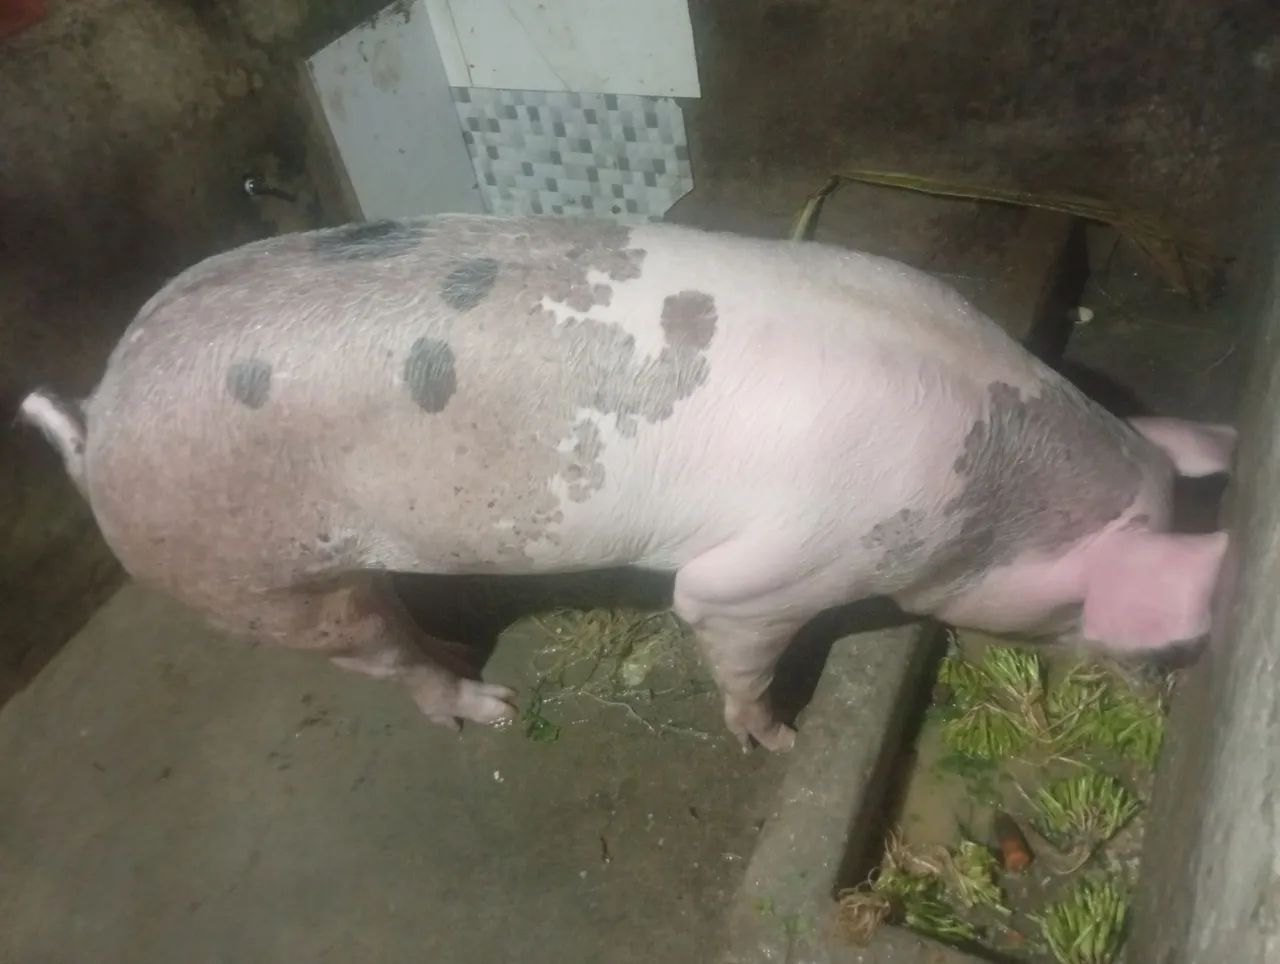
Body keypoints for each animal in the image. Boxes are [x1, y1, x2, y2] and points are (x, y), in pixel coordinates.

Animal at [18, 215, 1235, 751]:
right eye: (1080, 616)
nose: (1156, 684)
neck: (983, 501)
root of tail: (96, 413)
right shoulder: (771, 573)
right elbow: (725, 631)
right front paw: (775, 740)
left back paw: (457, 645)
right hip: (257, 579)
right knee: (380, 658)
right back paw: (491, 707)